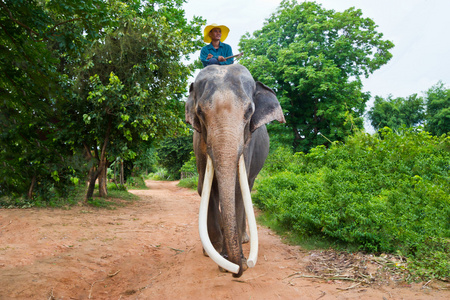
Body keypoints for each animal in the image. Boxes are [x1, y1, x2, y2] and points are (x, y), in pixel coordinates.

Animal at [184, 63, 284, 276]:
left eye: (249, 111)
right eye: (200, 112)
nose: (239, 269)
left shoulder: (248, 144)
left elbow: (238, 189)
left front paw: (235, 261)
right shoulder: (199, 144)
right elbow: (207, 189)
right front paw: (221, 257)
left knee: (249, 187)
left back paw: (244, 240)